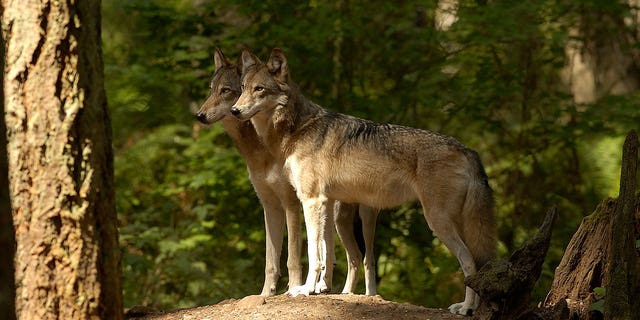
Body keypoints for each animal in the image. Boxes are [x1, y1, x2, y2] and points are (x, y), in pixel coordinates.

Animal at [198, 48, 380, 296]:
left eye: (226, 90)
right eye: (211, 89)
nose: (199, 115)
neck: (261, 149)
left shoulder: (291, 203)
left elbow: (292, 257)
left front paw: (293, 288)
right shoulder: (269, 206)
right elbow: (271, 261)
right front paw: (266, 294)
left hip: (356, 219)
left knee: (365, 259)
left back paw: (365, 295)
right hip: (333, 219)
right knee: (345, 256)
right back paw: (332, 289)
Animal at [229, 48, 496, 316]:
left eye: (259, 89)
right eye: (242, 88)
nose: (234, 111)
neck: (298, 128)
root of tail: (468, 150)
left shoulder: (310, 201)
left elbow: (314, 254)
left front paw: (304, 289)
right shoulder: (326, 203)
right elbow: (326, 253)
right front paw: (318, 289)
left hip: (436, 221)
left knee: (469, 261)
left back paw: (466, 308)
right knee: (475, 261)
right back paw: (468, 306)